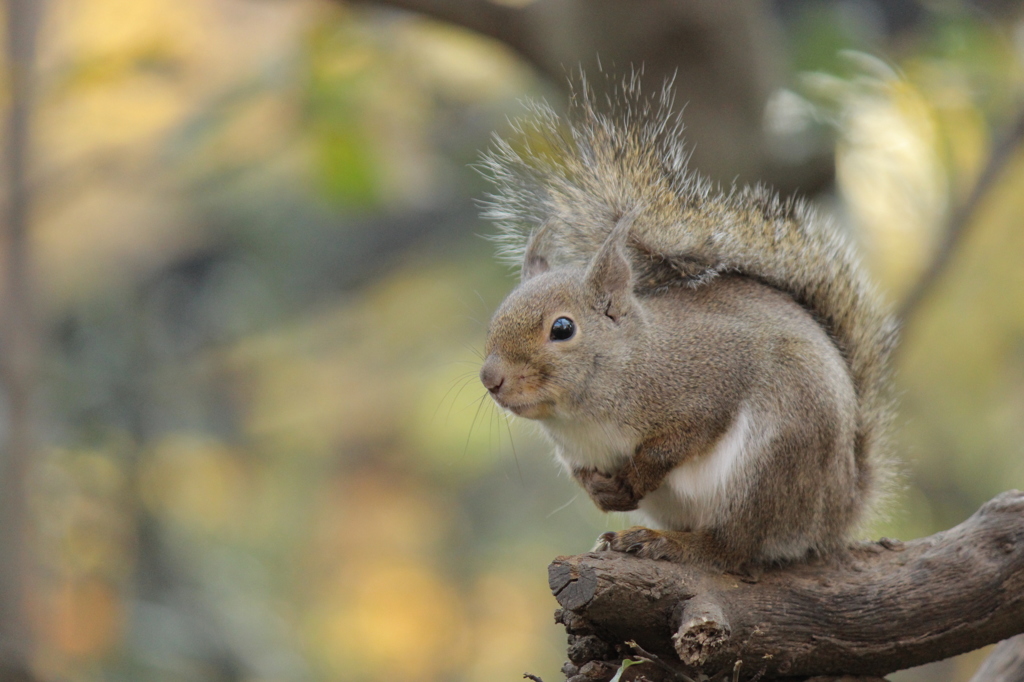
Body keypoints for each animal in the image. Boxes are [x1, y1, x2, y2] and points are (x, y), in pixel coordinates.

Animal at [475, 76, 901, 569]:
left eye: (562, 329)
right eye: (496, 317)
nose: (491, 379)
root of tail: (839, 509)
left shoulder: (710, 380)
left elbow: (678, 440)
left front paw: (638, 475)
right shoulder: (578, 452)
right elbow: (584, 475)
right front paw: (601, 492)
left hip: (771, 460)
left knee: (732, 547)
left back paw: (671, 544)